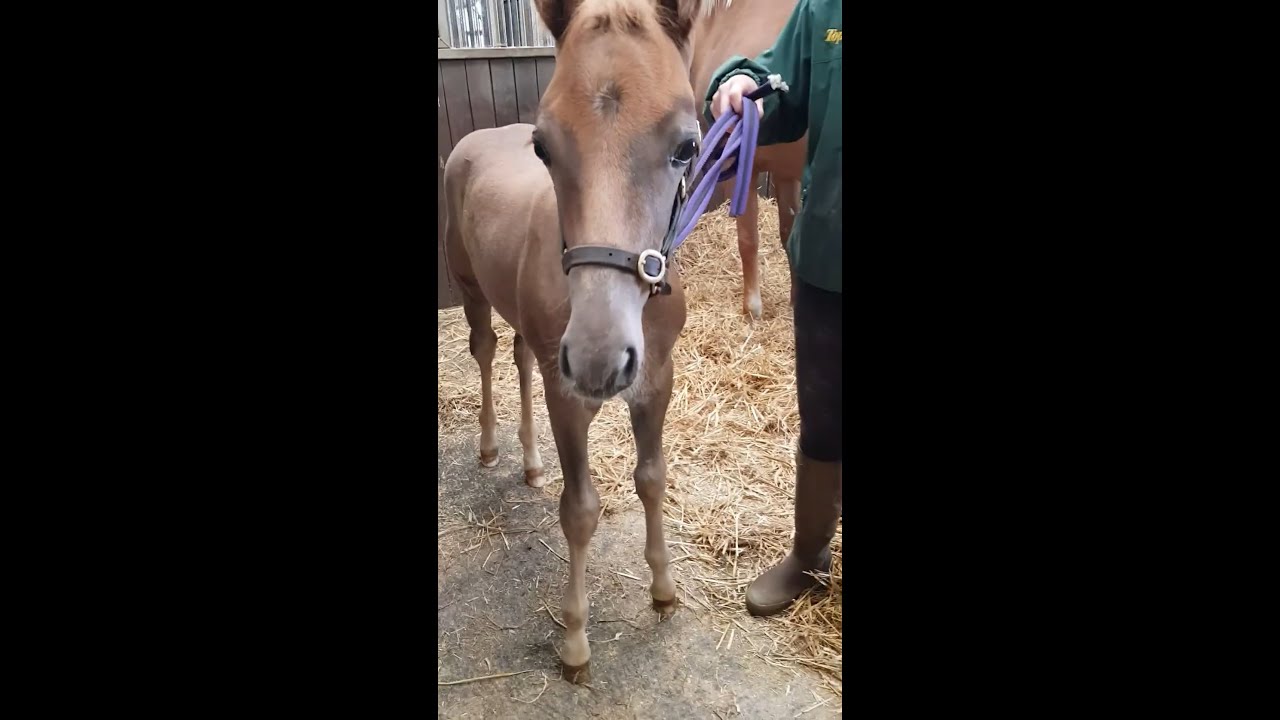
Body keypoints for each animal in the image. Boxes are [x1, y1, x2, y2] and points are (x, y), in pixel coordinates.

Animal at [443, 0, 707, 684]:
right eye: (544, 146)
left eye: (687, 146)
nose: (597, 360)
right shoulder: (570, 398)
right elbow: (581, 509)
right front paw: (575, 643)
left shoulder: (655, 380)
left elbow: (652, 477)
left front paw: (663, 590)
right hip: (473, 289)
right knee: (486, 351)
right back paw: (491, 448)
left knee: (519, 358)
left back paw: (531, 462)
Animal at [689, 0, 805, 319]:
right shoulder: (785, 173)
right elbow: (788, 235)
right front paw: (795, 302)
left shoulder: (741, 164)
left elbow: (748, 238)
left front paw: (752, 309)